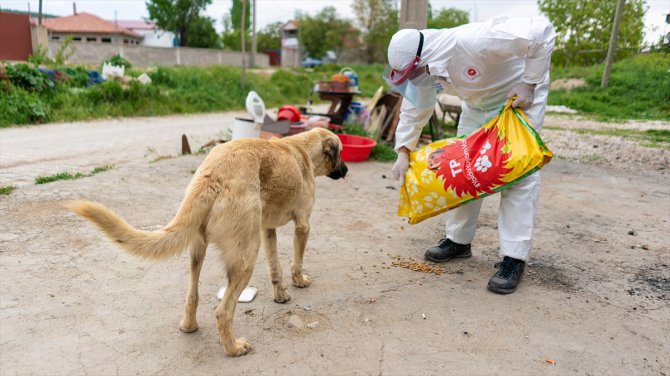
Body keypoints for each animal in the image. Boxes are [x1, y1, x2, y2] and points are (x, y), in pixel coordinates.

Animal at [69, 129, 350, 356]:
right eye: (340, 153)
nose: (347, 170)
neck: (303, 148)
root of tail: (212, 174)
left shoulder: (267, 230)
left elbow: (275, 269)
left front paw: (281, 295)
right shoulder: (303, 225)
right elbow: (295, 262)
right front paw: (299, 281)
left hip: (198, 250)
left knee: (192, 295)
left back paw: (189, 326)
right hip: (246, 258)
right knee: (223, 312)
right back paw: (233, 348)